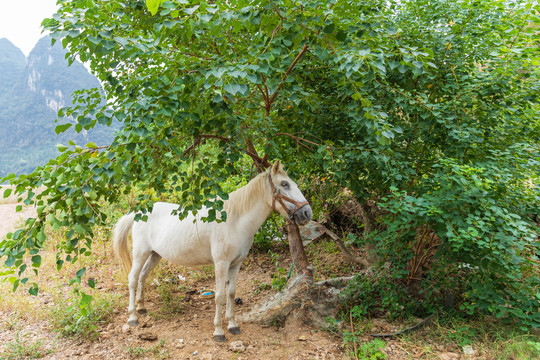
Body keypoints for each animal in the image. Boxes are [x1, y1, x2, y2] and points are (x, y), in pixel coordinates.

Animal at [114, 162, 312, 342]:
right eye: (285, 184)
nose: (307, 213)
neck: (234, 221)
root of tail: (138, 212)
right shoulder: (221, 264)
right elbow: (219, 296)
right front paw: (219, 331)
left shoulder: (236, 264)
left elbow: (231, 293)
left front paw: (233, 325)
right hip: (140, 254)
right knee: (132, 279)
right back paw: (133, 317)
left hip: (155, 255)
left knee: (142, 276)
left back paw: (141, 308)